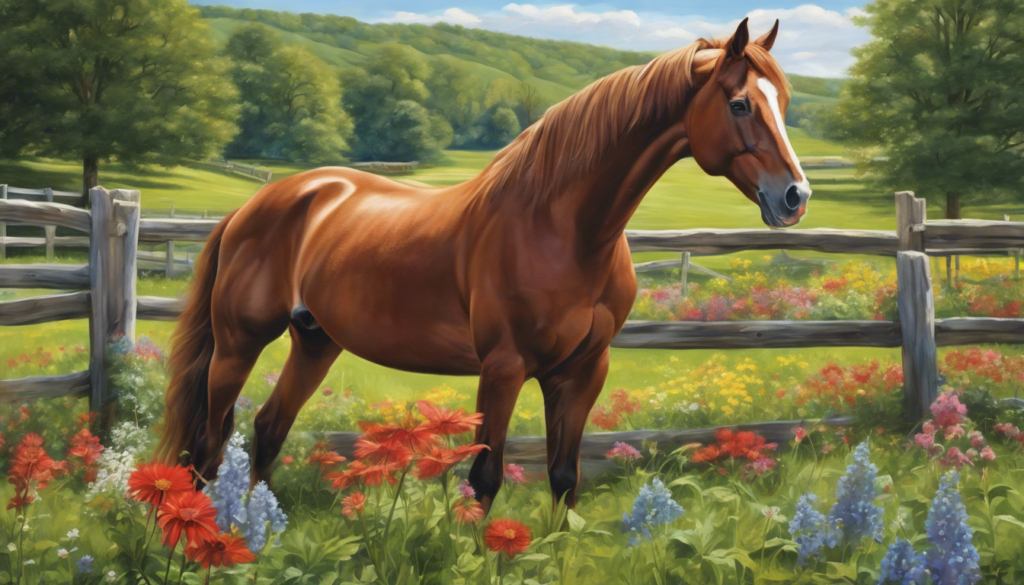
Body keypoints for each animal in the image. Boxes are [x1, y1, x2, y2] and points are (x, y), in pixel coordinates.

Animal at [156, 17, 810, 512]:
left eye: (783, 102)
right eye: (740, 103)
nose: (794, 196)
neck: (563, 229)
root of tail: (256, 205)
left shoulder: (582, 373)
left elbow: (565, 477)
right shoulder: (502, 369)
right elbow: (485, 479)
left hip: (315, 340)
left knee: (267, 430)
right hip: (238, 344)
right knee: (209, 446)